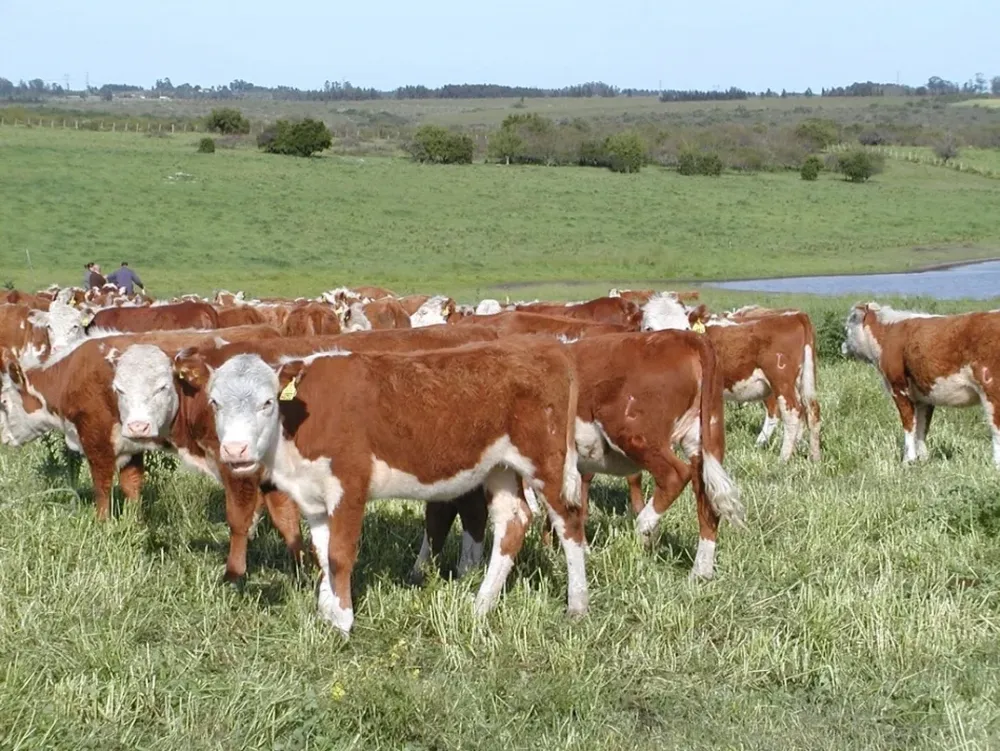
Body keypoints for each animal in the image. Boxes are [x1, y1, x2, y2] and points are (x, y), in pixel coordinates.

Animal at [193, 336, 584, 636]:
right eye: (215, 402)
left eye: (267, 402)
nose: (236, 450)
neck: (299, 422)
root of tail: (545, 346)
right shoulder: (314, 499)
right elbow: (322, 553)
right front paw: (326, 612)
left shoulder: (349, 486)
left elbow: (339, 555)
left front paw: (343, 621)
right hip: (500, 467)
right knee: (513, 521)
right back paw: (481, 605)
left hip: (546, 463)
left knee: (569, 521)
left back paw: (577, 605)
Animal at [842, 302, 1000, 465]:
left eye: (847, 327)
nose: (844, 346)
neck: (887, 332)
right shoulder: (924, 397)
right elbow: (922, 428)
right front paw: (922, 459)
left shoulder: (898, 388)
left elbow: (909, 424)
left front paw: (908, 460)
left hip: (992, 388)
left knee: (996, 428)